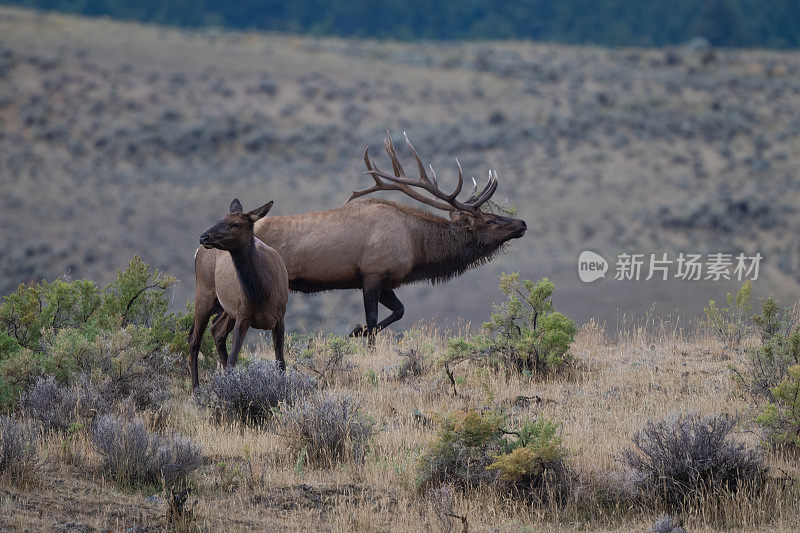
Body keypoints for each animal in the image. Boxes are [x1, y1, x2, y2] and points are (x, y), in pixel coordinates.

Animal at [187, 196, 288, 386]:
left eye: (235, 224)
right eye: (219, 220)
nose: (204, 237)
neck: (261, 292)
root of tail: (197, 253)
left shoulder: (279, 317)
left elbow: (281, 362)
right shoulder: (243, 316)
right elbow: (234, 359)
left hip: (227, 308)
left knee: (216, 330)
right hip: (204, 293)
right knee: (194, 339)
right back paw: (195, 389)